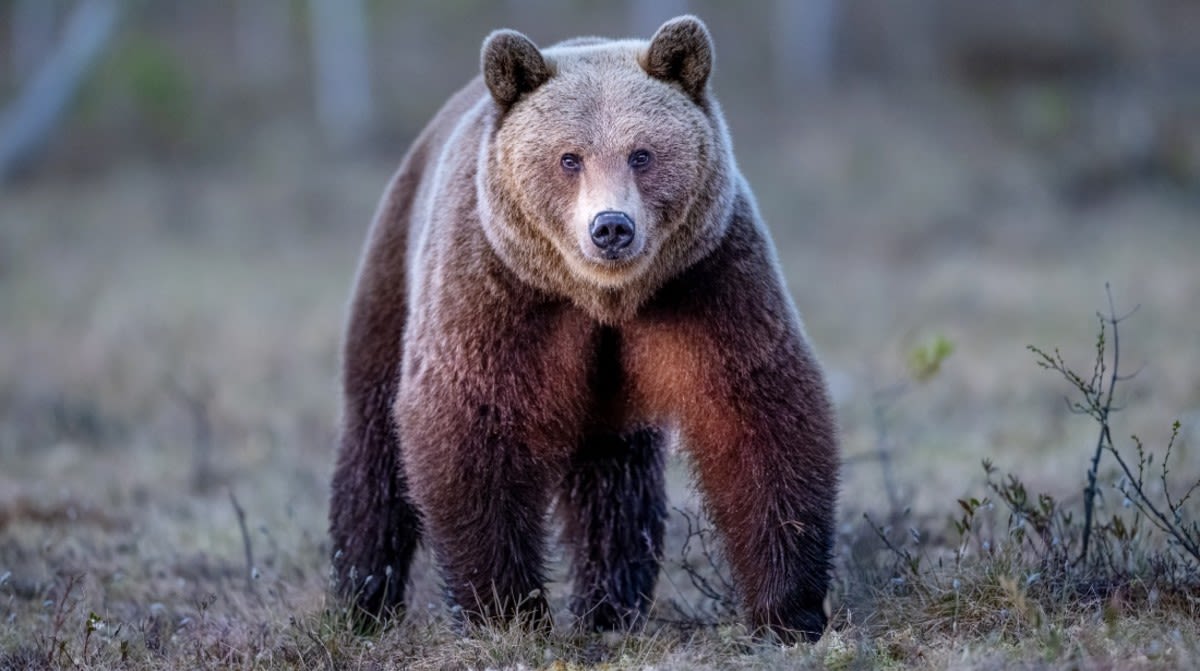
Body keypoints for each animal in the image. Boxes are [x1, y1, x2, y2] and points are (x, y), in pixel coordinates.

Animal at [324, 15, 840, 643]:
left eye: (642, 154)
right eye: (569, 158)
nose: (611, 227)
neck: (600, 297)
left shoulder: (707, 280)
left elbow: (756, 412)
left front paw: (789, 609)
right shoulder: (495, 290)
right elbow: (469, 421)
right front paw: (505, 609)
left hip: (610, 394)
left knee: (614, 483)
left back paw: (610, 607)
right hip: (393, 271)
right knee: (372, 442)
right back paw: (361, 599)